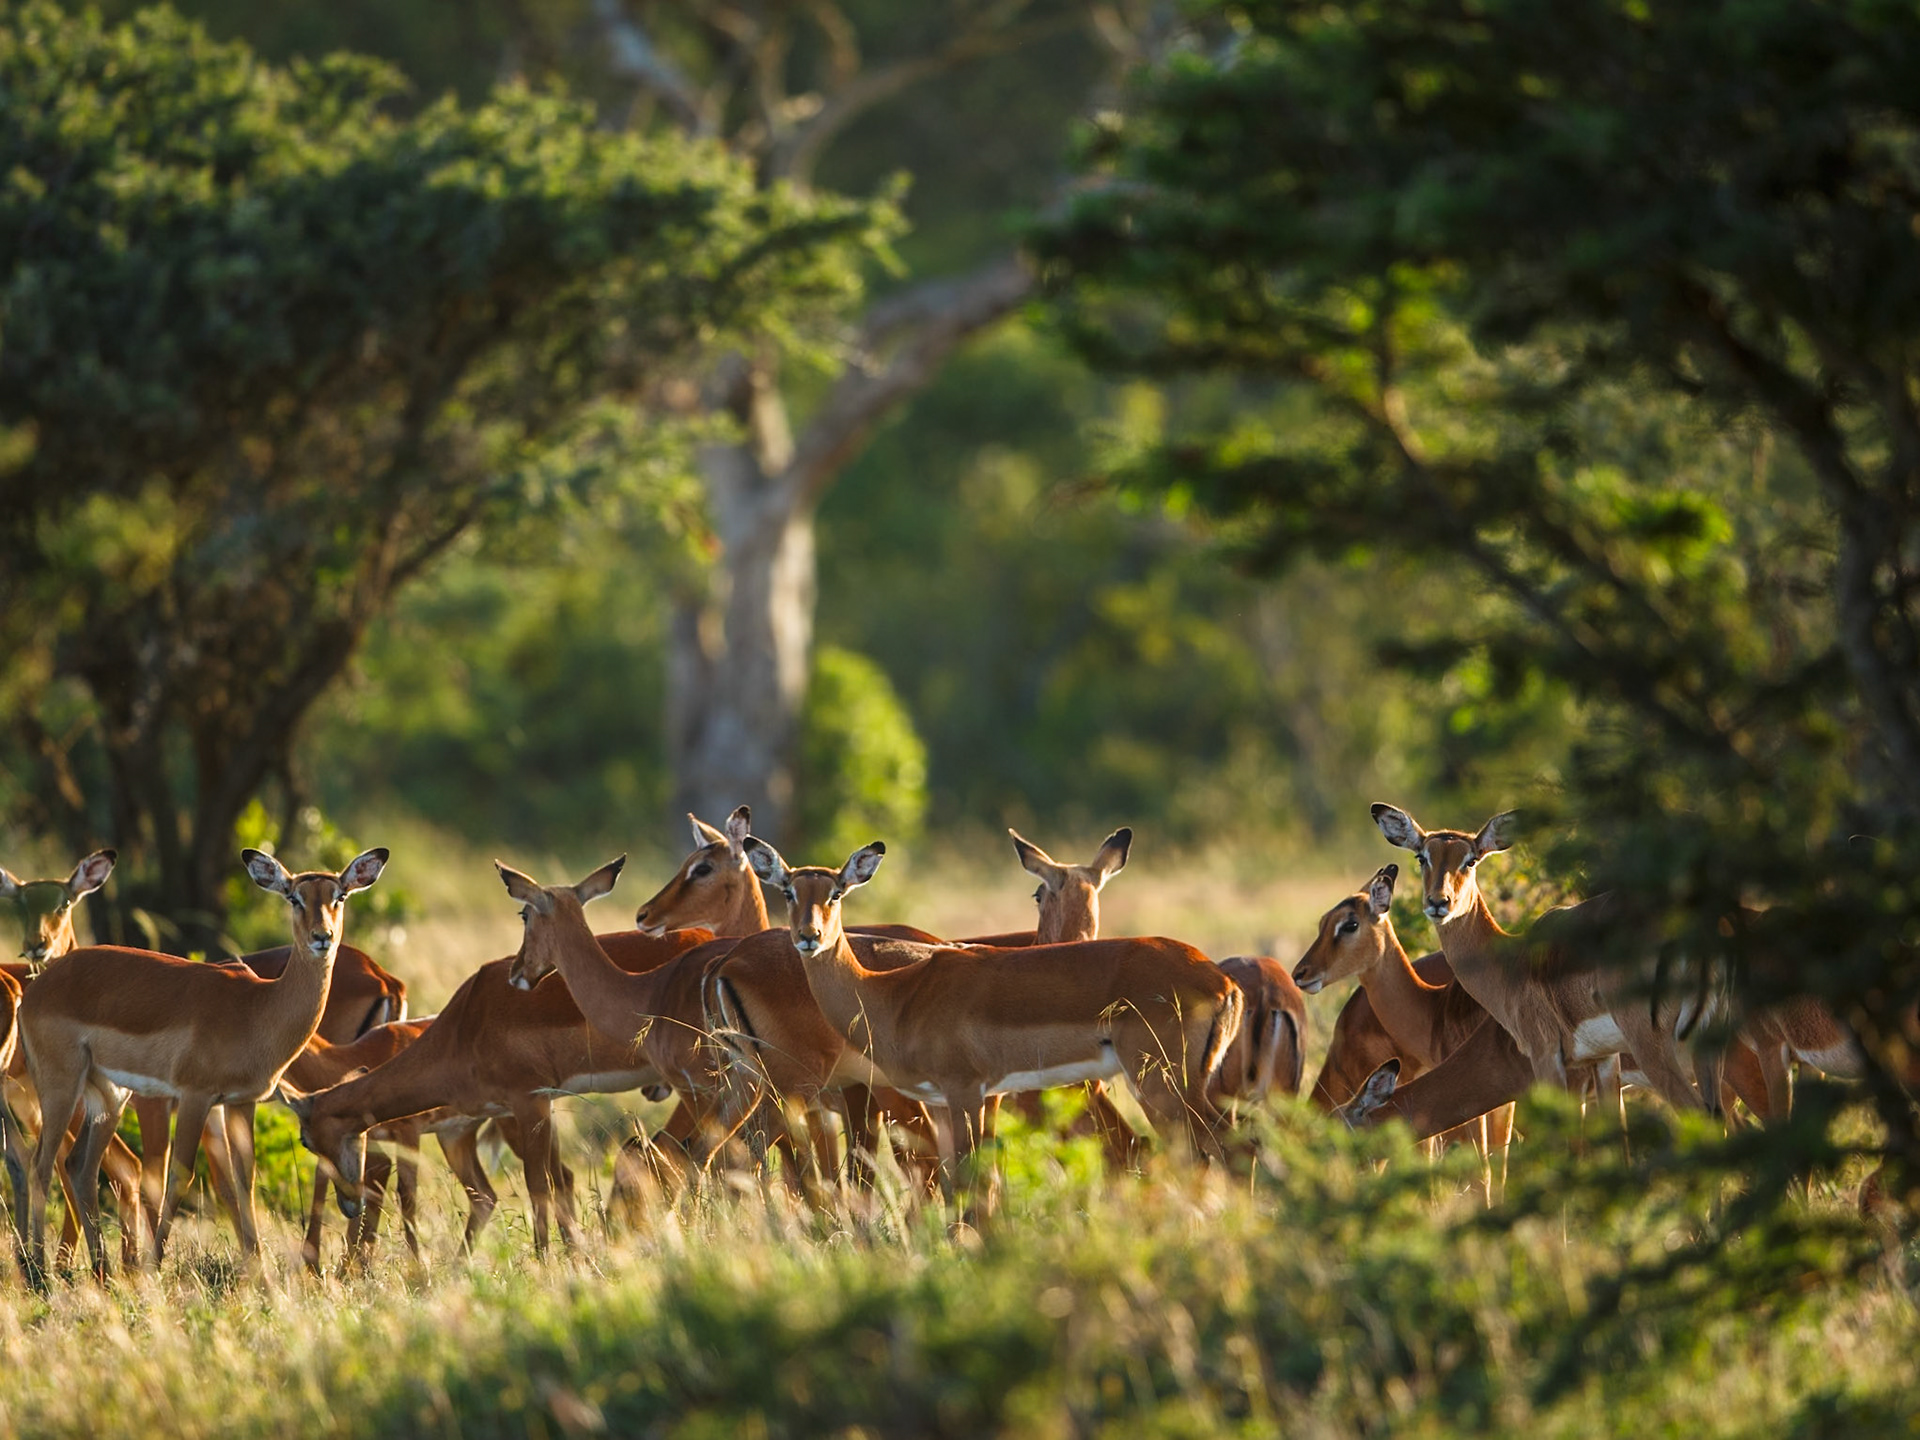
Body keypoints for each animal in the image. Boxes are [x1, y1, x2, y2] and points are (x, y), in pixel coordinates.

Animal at [19, 845, 387, 1279]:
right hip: (61, 1087)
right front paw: (154, 1266)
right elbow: (180, 1176)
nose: (322, 938)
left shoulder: (240, 1102)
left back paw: (101, 1271)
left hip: (108, 1097)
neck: (258, 1008)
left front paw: (260, 1274)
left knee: (80, 1168)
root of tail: (34, 989)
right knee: (41, 1166)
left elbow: (244, 1180)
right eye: (294, 897)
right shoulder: (195, 1097)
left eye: (339, 896)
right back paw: (37, 1272)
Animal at [734, 837, 1243, 1198]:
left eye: (836, 892)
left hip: (1162, 1085)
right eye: (787, 890)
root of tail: (1220, 979)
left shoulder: (965, 1092)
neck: (894, 994)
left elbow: (970, 1178)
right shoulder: (952, 1100)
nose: (809, 936)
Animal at [1371, 804, 1721, 1113]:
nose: (1438, 902)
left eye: (1470, 860)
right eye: (1422, 857)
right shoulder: (1604, 1060)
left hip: (1654, 1048)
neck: (1510, 964)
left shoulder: (1546, 1056)